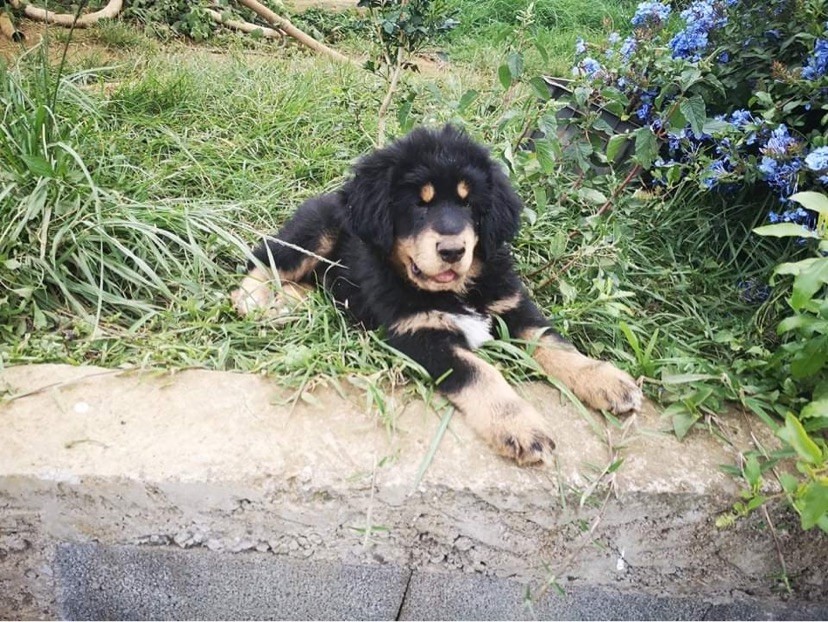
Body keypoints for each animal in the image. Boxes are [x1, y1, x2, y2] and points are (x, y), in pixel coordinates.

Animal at [230, 127, 644, 466]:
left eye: (468, 203)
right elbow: (481, 373)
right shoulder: (419, 335)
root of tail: (331, 196)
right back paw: (254, 299)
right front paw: (520, 426)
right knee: (267, 256)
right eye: (419, 203)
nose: (452, 251)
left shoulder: (512, 306)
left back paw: (292, 301)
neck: (453, 292)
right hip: (317, 231)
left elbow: (555, 344)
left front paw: (606, 380)